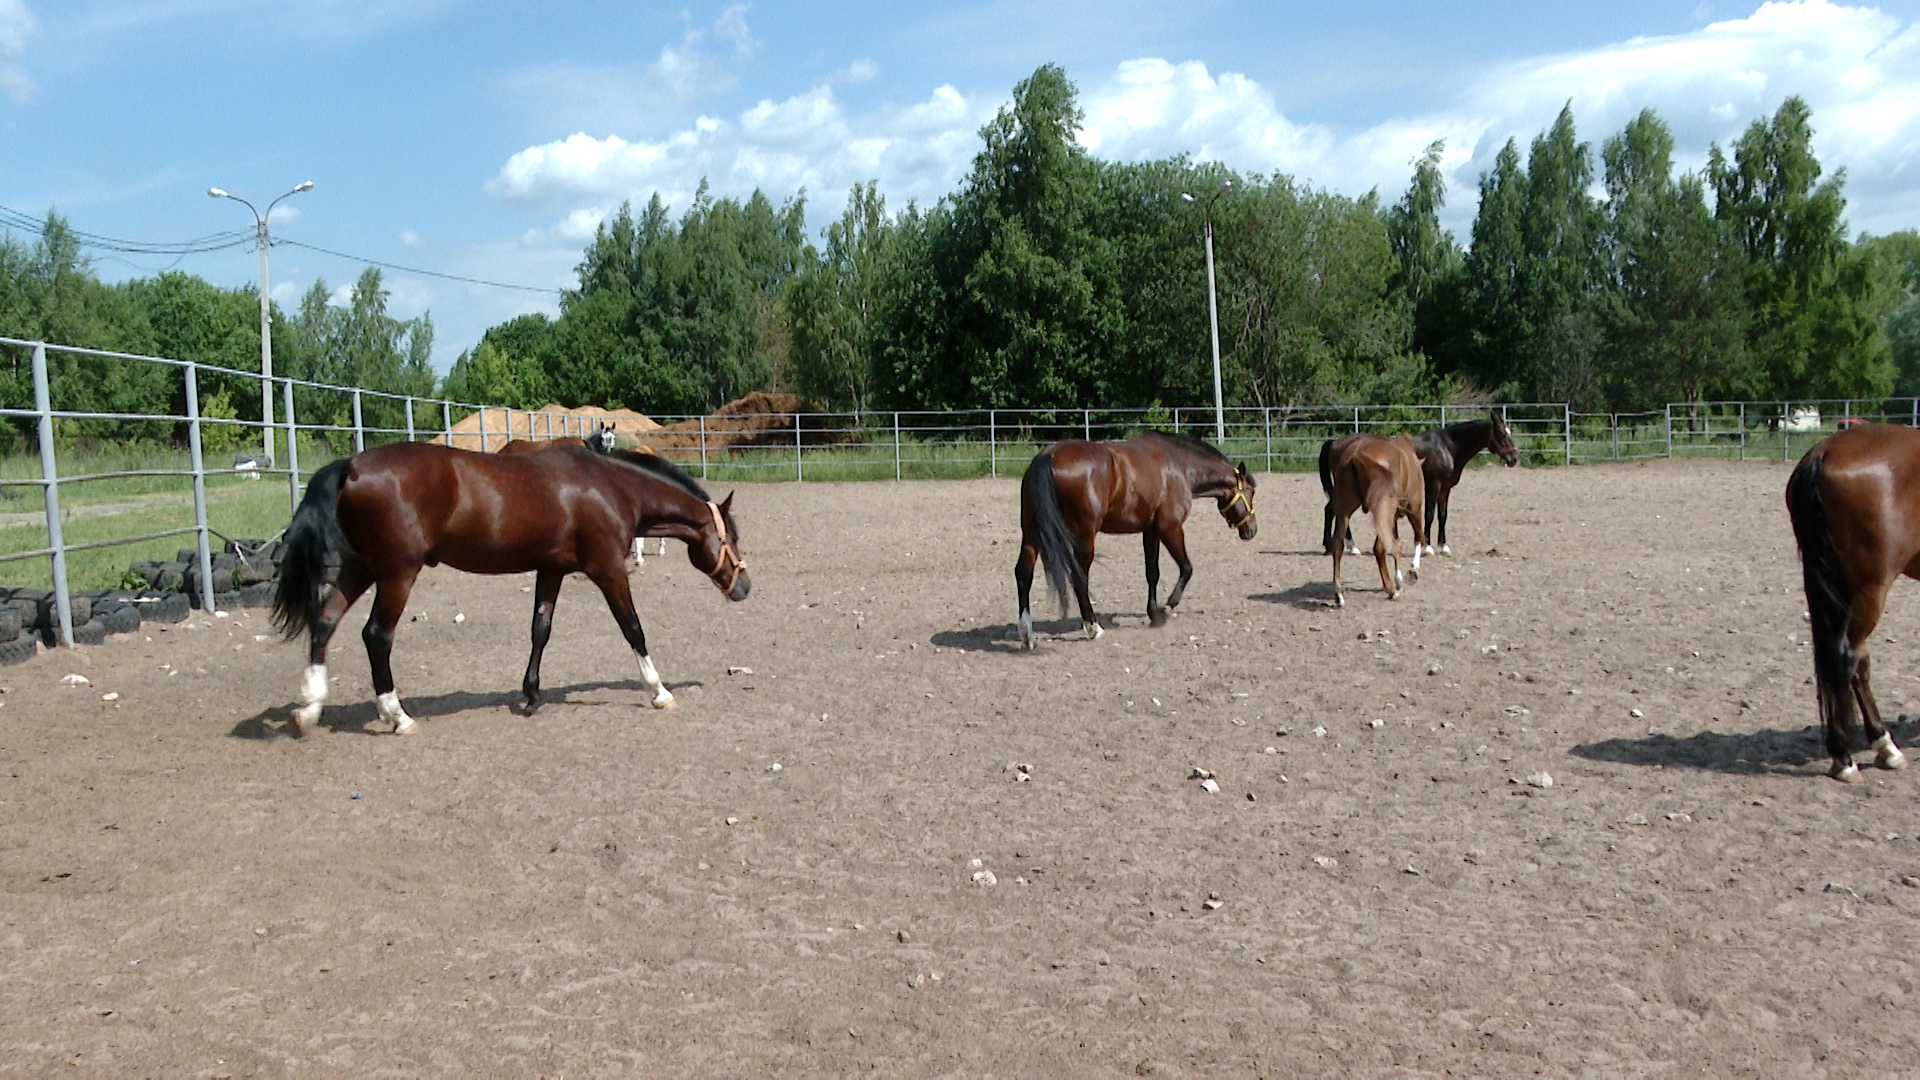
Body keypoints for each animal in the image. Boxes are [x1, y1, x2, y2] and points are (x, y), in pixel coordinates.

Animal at [272, 441, 748, 734]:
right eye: (732, 537)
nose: (743, 586)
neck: (611, 486)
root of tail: (350, 467)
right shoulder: (609, 570)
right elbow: (633, 628)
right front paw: (659, 691)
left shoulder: (551, 570)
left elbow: (541, 630)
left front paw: (531, 695)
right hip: (396, 574)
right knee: (376, 635)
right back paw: (396, 715)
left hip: (360, 568)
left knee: (325, 620)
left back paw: (308, 708)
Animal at [1021, 428, 1259, 645]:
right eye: (1251, 491)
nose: (1252, 530)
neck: (1180, 463)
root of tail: (1048, 455)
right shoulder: (1170, 529)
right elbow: (1187, 568)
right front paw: (1166, 609)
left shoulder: (1151, 531)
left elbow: (1152, 572)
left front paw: (1153, 613)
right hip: (1084, 536)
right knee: (1079, 577)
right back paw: (1093, 626)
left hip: (1032, 534)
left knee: (1023, 572)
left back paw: (1027, 634)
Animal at [1320, 430, 1428, 607]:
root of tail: (1357, 455)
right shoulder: (1414, 509)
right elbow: (1418, 538)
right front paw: (1412, 572)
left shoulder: (1391, 517)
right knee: (1384, 547)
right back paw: (1393, 589)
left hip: (1345, 509)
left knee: (1338, 544)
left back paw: (1339, 594)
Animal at [1781, 422, 1920, 780]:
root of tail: (1824, 451)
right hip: (1871, 587)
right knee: (1848, 656)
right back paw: (1846, 757)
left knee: (1857, 661)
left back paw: (1882, 746)